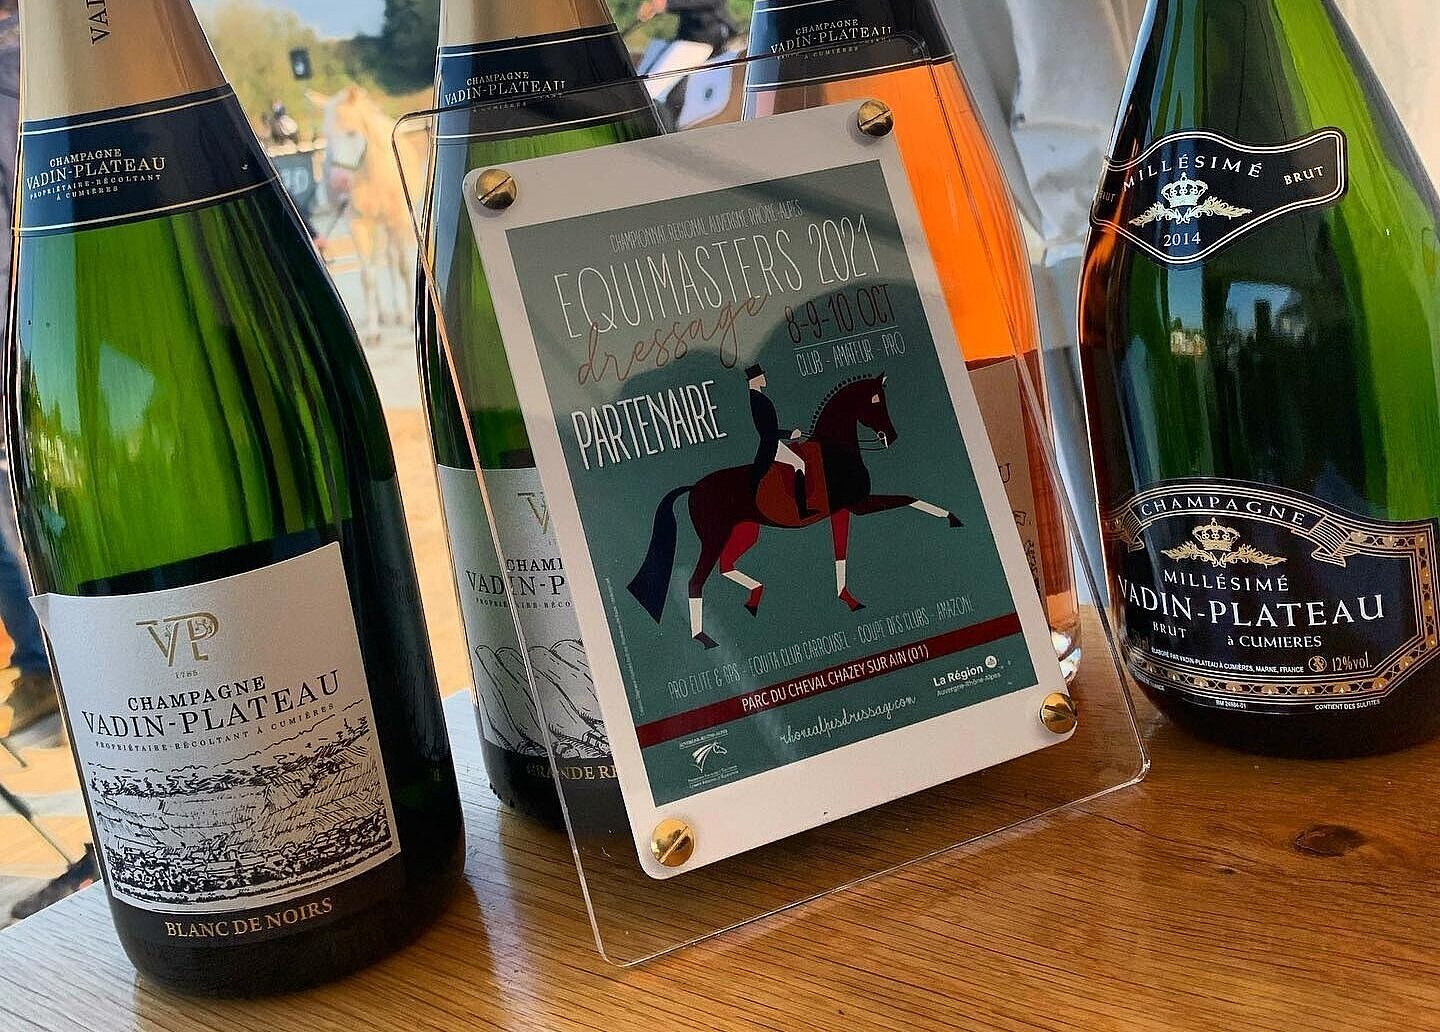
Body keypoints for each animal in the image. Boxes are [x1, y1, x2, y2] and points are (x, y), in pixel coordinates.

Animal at [308, 85, 427, 338]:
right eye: (326, 136)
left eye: (351, 132)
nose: (338, 182)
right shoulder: (357, 223)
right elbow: (367, 276)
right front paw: (373, 330)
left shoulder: (400, 218)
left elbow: (403, 266)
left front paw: (409, 320)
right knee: (376, 260)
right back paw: (383, 313)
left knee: (391, 259)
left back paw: (400, 312)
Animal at [628, 374, 965, 649]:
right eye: (874, 400)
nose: (890, 437)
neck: (835, 451)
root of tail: (694, 487)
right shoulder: (859, 505)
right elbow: (907, 497)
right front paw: (952, 517)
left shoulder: (842, 511)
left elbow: (840, 554)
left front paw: (848, 599)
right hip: (714, 538)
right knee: (696, 582)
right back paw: (704, 638)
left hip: (745, 531)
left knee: (726, 566)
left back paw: (754, 599)